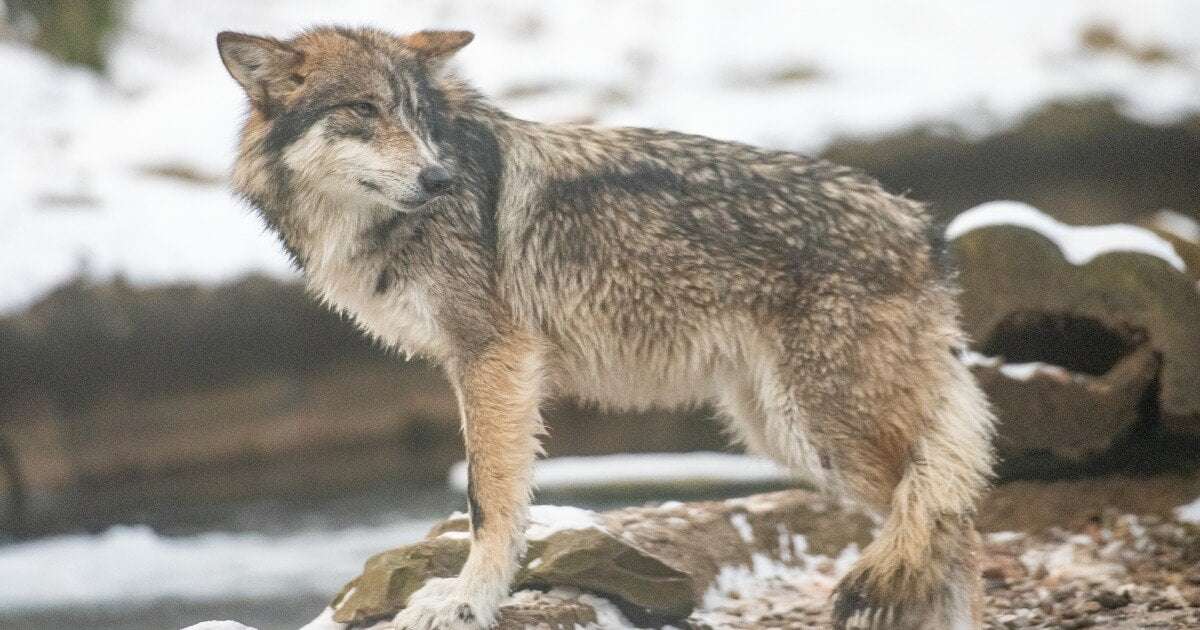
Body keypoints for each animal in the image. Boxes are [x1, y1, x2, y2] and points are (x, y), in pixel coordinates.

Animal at [217, 25, 995, 630]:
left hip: (825, 429)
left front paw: (466, 603)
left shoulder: (495, 357)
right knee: (937, 530)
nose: (437, 179)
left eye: (417, 116)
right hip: (781, 428)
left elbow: (490, 501)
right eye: (363, 109)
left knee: (951, 529)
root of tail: (926, 227)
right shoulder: (480, 365)